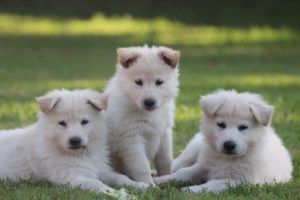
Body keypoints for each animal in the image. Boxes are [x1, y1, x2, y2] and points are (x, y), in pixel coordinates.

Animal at [0, 88, 146, 195]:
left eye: (84, 122)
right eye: (62, 123)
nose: (75, 140)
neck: (80, 154)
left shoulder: (101, 169)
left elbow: (121, 177)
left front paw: (139, 185)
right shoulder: (71, 177)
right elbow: (96, 183)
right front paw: (116, 193)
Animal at [105, 45, 180, 184]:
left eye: (159, 82)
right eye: (138, 82)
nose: (149, 102)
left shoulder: (164, 133)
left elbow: (165, 160)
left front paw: (167, 177)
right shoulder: (131, 139)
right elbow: (141, 166)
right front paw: (148, 184)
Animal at [155, 90, 292, 192]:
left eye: (243, 127)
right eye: (221, 124)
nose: (229, 145)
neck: (227, 159)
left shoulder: (241, 181)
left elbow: (214, 184)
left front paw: (189, 190)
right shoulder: (203, 165)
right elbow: (183, 173)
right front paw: (161, 181)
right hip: (193, 149)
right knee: (178, 163)